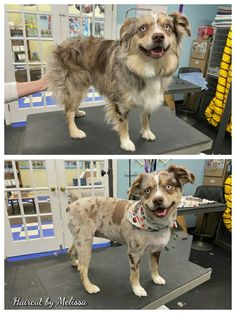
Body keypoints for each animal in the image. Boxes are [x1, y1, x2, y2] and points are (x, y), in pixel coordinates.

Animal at [47, 11, 191, 151]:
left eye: (167, 27)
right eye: (143, 28)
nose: (158, 37)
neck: (147, 66)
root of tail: (62, 45)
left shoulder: (148, 97)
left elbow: (146, 116)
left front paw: (146, 132)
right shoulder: (120, 102)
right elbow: (124, 124)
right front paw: (126, 142)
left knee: (71, 107)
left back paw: (77, 113)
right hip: (76, 86)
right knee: (68, 111)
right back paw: (74, 131)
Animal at [67, 164, 195, 296]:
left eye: (169, 186)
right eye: (147, 190)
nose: (157, 200)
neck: (155, 226)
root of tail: (72, 205)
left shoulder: (156, 250)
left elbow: (154, 266)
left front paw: (156, 278)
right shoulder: (134, 253)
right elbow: (135, 273)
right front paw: (137, 288)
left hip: (79, 239)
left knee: (70, 251)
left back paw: (75, 263)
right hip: (85, 243)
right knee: (83, 269)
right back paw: (89, 287)